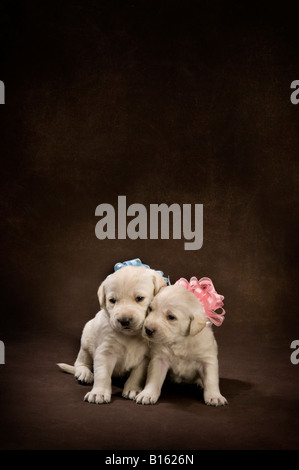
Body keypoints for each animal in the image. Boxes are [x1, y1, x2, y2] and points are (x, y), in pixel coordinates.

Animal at [57, 266, 165, 402]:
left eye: (139, 298)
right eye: (112, 300)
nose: (124, 320)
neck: (131, 335)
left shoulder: (145, 358)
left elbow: (137, 375)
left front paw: (133, 388)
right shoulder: (105, 352)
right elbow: (102, 374)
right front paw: (99, 393)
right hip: (86, 340)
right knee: (81, 362)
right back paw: (84, 373)